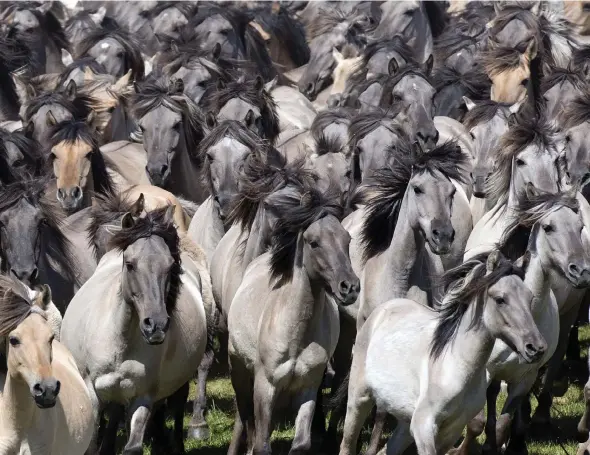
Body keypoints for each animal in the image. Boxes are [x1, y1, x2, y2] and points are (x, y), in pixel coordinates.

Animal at [60, 208, 212, 455]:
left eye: (170, 266)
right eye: (130, 264)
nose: (156, 325)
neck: (119, 340)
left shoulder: (142, 397)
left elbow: (133, 446)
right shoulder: (92, 393)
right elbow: (91, 443)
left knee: (178, 403)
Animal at [229, 184, 360, 455]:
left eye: (347, 240)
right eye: (314, 242)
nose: (350, 287)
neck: (296, 333)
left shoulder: (308, 387)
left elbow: (301, 443)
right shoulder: (265, 386)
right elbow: (261, 443)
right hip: (238, 368)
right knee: (245, 418)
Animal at [340, 251, 548, 455]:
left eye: (530, 298)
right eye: (500, 299)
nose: (536, 348)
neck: (455, 365)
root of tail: (384, 308)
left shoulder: (451, 430)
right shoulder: (424, 426)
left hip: (405, 422)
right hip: (359, 401)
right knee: (347, 445)